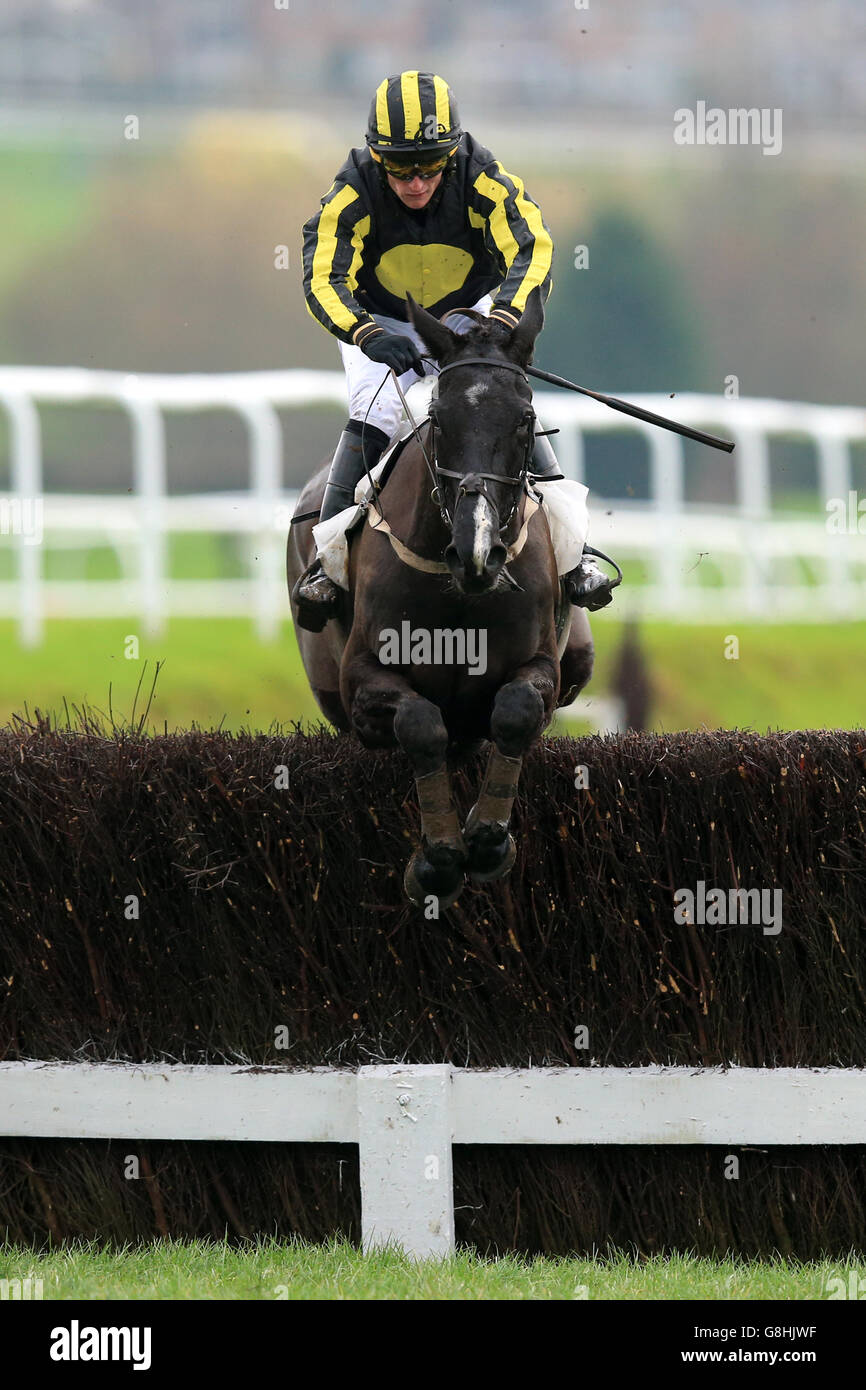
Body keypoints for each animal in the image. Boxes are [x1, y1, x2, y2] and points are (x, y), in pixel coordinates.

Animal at [286, 287, 594, 906]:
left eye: (526, 421)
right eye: (438, 420)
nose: (477, 553)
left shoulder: (542, 665)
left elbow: (516, 711)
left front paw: (489, 838)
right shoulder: (361, 679)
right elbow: (421, 724)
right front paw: (440, 857)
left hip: (579, 654)